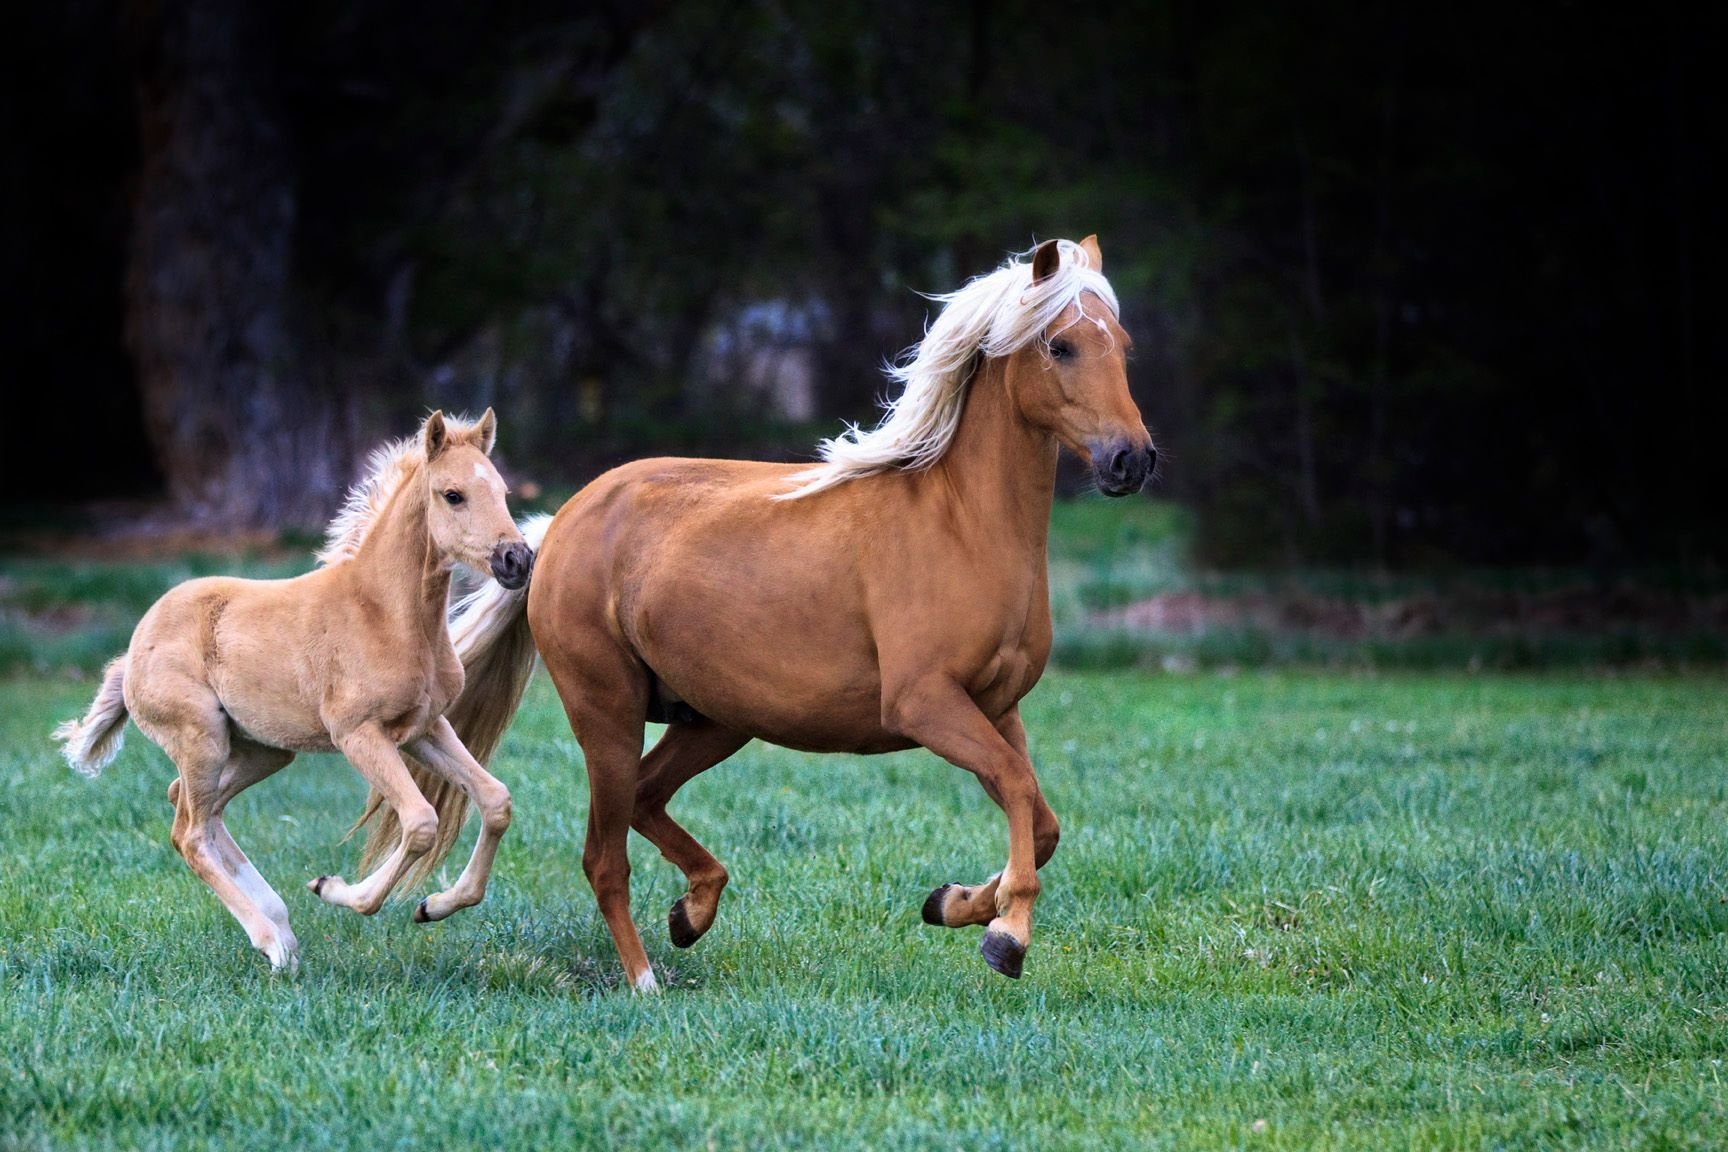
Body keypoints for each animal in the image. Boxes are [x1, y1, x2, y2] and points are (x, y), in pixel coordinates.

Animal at [55, 409, 532, 967]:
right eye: (453, 494)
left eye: (502, 491)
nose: (516, 560)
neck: (383, 614)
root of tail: (132, 652)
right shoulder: (358, 735)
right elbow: (419, 823)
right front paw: (335, 889)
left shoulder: (424, 729)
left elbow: (495, 800)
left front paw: (433, 906)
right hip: (202, 739)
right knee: (189, 833)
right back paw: (272, 943)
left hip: (262, 750)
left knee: (193, 807)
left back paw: (279, 924)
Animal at [357, 236, 1154, 994]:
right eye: (1060, 346)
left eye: (1123, 343)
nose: (1132, 461)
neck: (961, 524)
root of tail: (560, 526)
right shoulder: (927, 704)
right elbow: (1020, 793)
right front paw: (1005, 936)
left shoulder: (996, 707)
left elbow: (1042, 822)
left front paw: (953, 902)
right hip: (607, 712)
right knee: (603, 858)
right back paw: (645, 981)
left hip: (717, 719)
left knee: (646, 800)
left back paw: (690, 913)